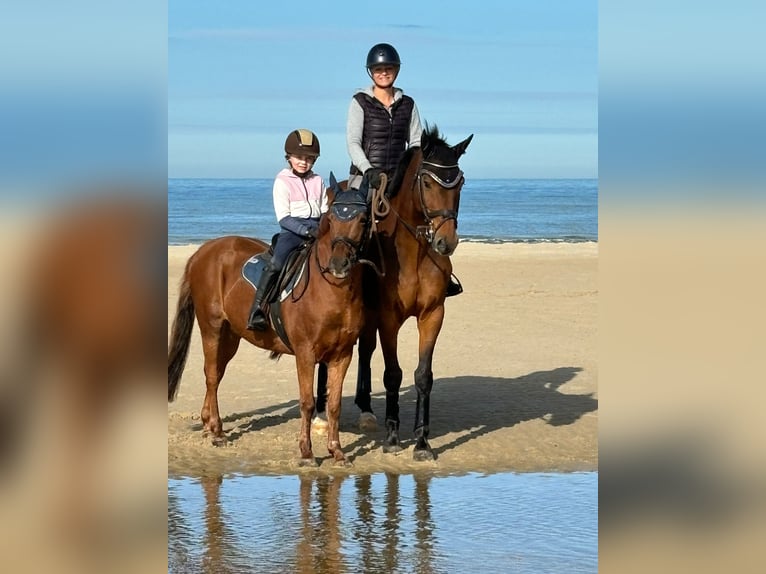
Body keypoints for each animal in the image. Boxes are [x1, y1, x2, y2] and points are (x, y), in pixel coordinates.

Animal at [169, 181, 372, 468]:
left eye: (363, 219)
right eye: (332, 220)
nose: (339, 264)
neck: (331, 290)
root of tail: (202, 251)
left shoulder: (342, 355)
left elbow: (334, 405)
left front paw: (337, 452)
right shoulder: (305, 354)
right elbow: (307, 402)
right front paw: (306, 452)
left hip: (230, 336)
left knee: (216, 374)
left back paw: (209, 425)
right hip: (212, 328)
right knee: (211, 375)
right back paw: (217, 432)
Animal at [318, 126, 474, 464]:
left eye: (460, 182)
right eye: (427, 182)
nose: (446, 241)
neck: (412, 253)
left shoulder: (432, 315)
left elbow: (423, 375)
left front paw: (422, 442)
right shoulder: (388, 318)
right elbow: (393, 374)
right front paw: (392, 438)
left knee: (365, 351)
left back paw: (365, 409)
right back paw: (322, 414)